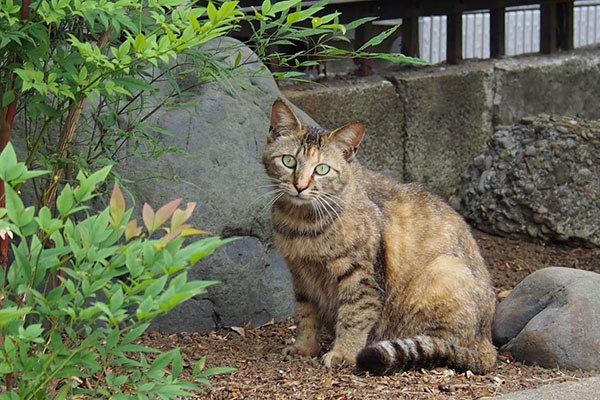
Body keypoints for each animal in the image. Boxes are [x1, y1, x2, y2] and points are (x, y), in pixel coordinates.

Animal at [260, 99, 494, 376]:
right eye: (289, 161)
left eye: (322, 169)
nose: (300, 186)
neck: (302, 224)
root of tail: (488, 342)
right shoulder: (300, 277)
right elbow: (306, 315)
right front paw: (305, 348)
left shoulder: (362, 278)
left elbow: (354, 316)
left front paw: (344, 353)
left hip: (444, 271)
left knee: (443, 344)